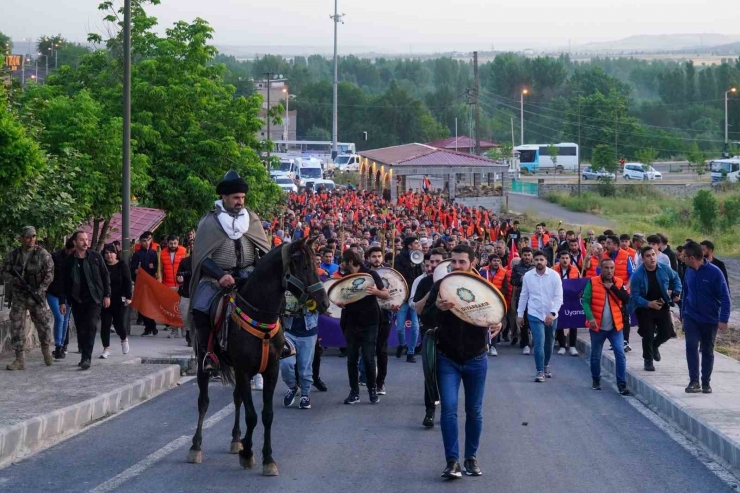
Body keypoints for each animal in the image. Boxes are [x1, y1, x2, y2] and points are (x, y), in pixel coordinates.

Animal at [188, 236, 330, 474]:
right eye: (304, 266)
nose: (324, 303)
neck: (259, 315)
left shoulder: (270, 370)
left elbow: (267, 415)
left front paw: (266, 458)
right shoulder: (245, 371)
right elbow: (252, 415)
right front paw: (248, 453)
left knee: (237, 398)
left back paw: (236, 439)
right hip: (203, 364)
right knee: (203, 401)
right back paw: (196, 447)